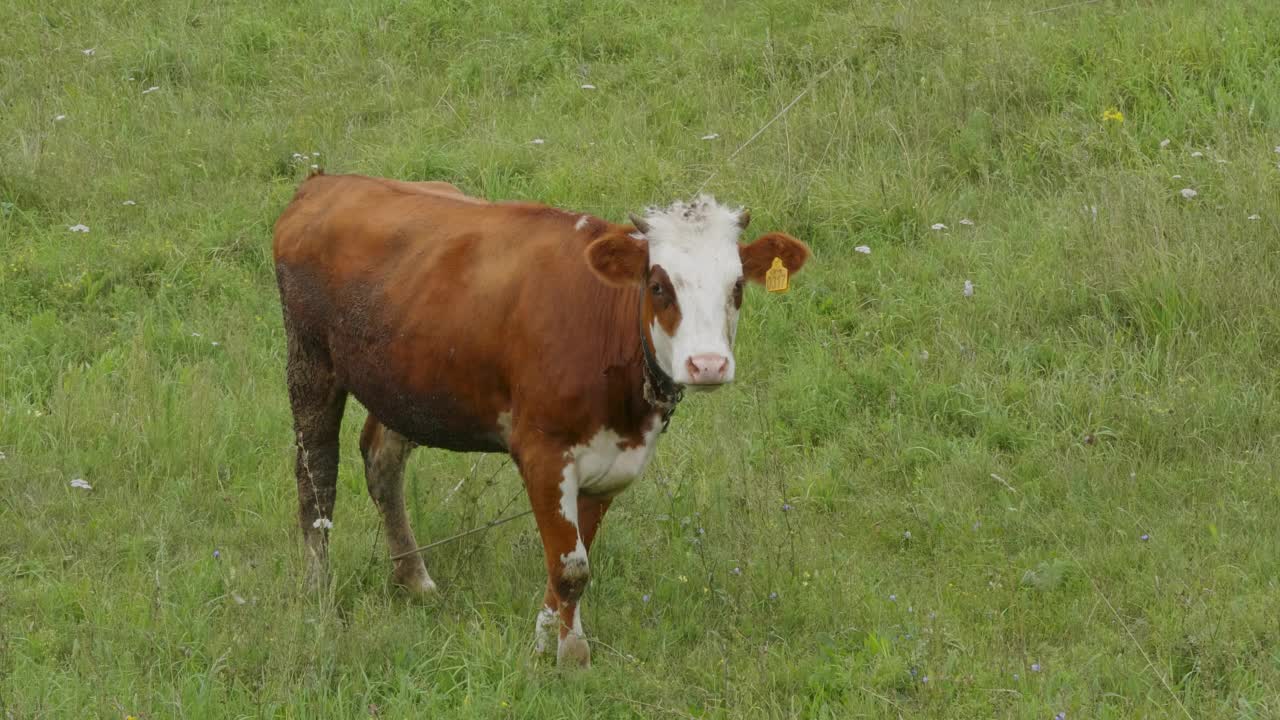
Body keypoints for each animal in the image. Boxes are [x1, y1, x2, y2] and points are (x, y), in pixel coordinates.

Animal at [271, 170, 808, 666]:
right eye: (658, 285)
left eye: (736, 286)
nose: (708, 365)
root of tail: (326, 182)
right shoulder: (543, 452)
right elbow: (571, 568)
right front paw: (572, 658)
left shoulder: (609, 463)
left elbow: (572, 558)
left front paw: (546, 636)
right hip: (310, 358)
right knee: (316, 472)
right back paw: (319, 589)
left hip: (401, 381)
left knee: (381, 461)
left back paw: (415, 579)